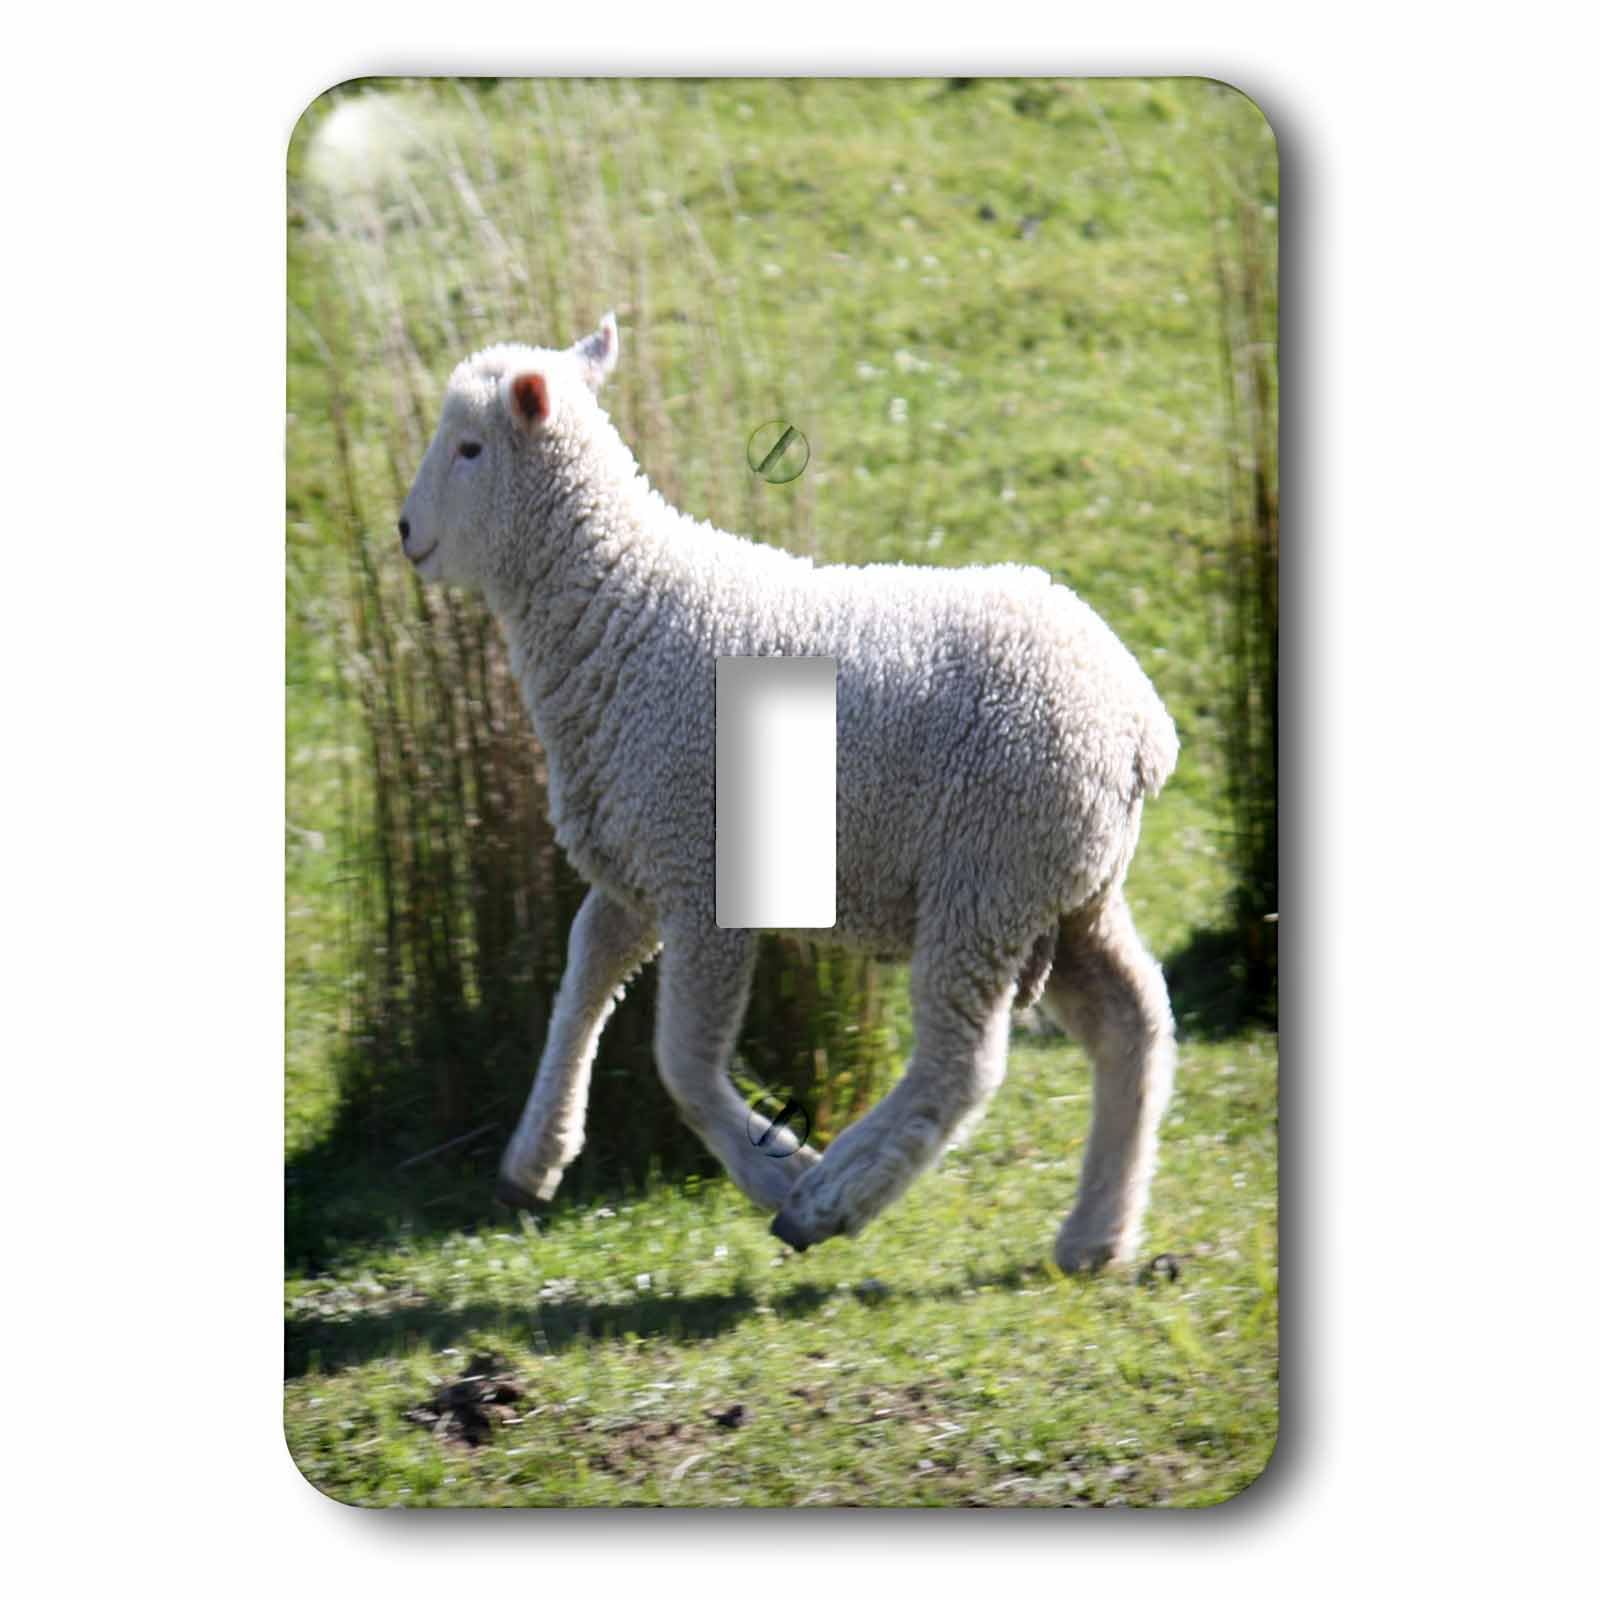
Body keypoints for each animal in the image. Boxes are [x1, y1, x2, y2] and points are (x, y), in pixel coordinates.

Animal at [397, 314, 1180, 1272]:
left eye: (469, 448)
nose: (405, 530)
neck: (619, 612)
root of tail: (1140, 724)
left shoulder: (702, 875)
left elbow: (681, 1063)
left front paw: (779, 1169)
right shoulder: (637, 867)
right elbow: (580, 987)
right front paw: (534, 1156)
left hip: (986, 875)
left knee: (961, 1065)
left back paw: (829, 1199)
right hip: (1064, 888)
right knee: (1133, 1022)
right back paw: (1096, 1232)